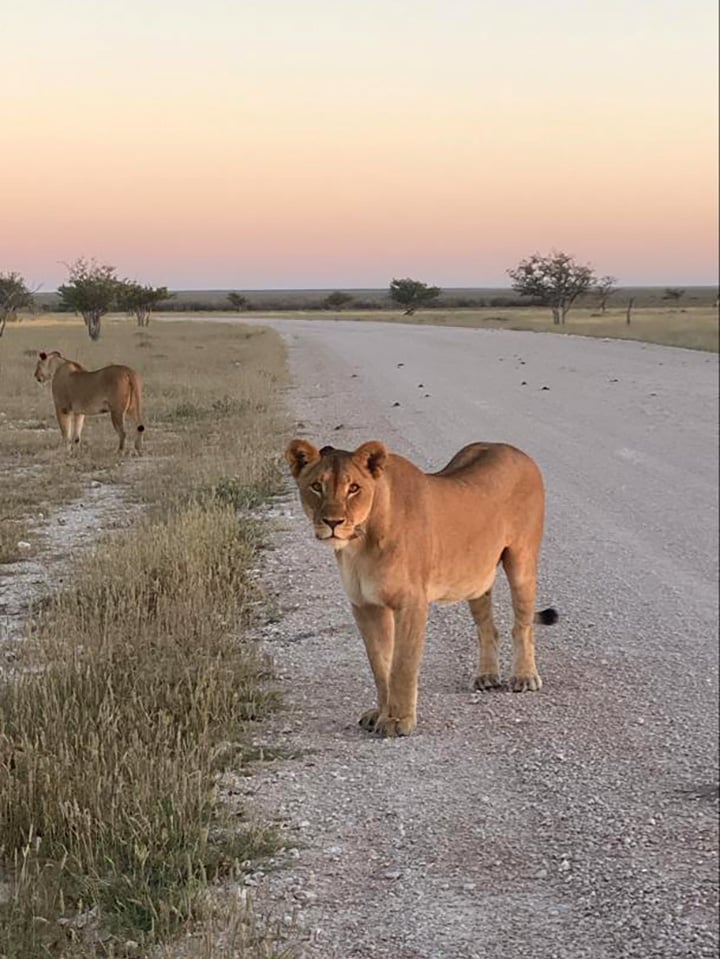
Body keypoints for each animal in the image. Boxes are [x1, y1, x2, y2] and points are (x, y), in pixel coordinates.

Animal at [285, 438, 558, 737]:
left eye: (354, 488)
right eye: (316, 486)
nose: (332, 522)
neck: (359, 545)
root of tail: (514, 450)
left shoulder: (411, 602)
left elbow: (402, 664)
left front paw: (398, 721)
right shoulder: (365, 605)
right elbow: (380, 664)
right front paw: (381, 713)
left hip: (522, 562)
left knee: (522, 625)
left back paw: (524, 677)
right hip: (476, 579)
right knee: (488, 627)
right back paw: (486, 676)